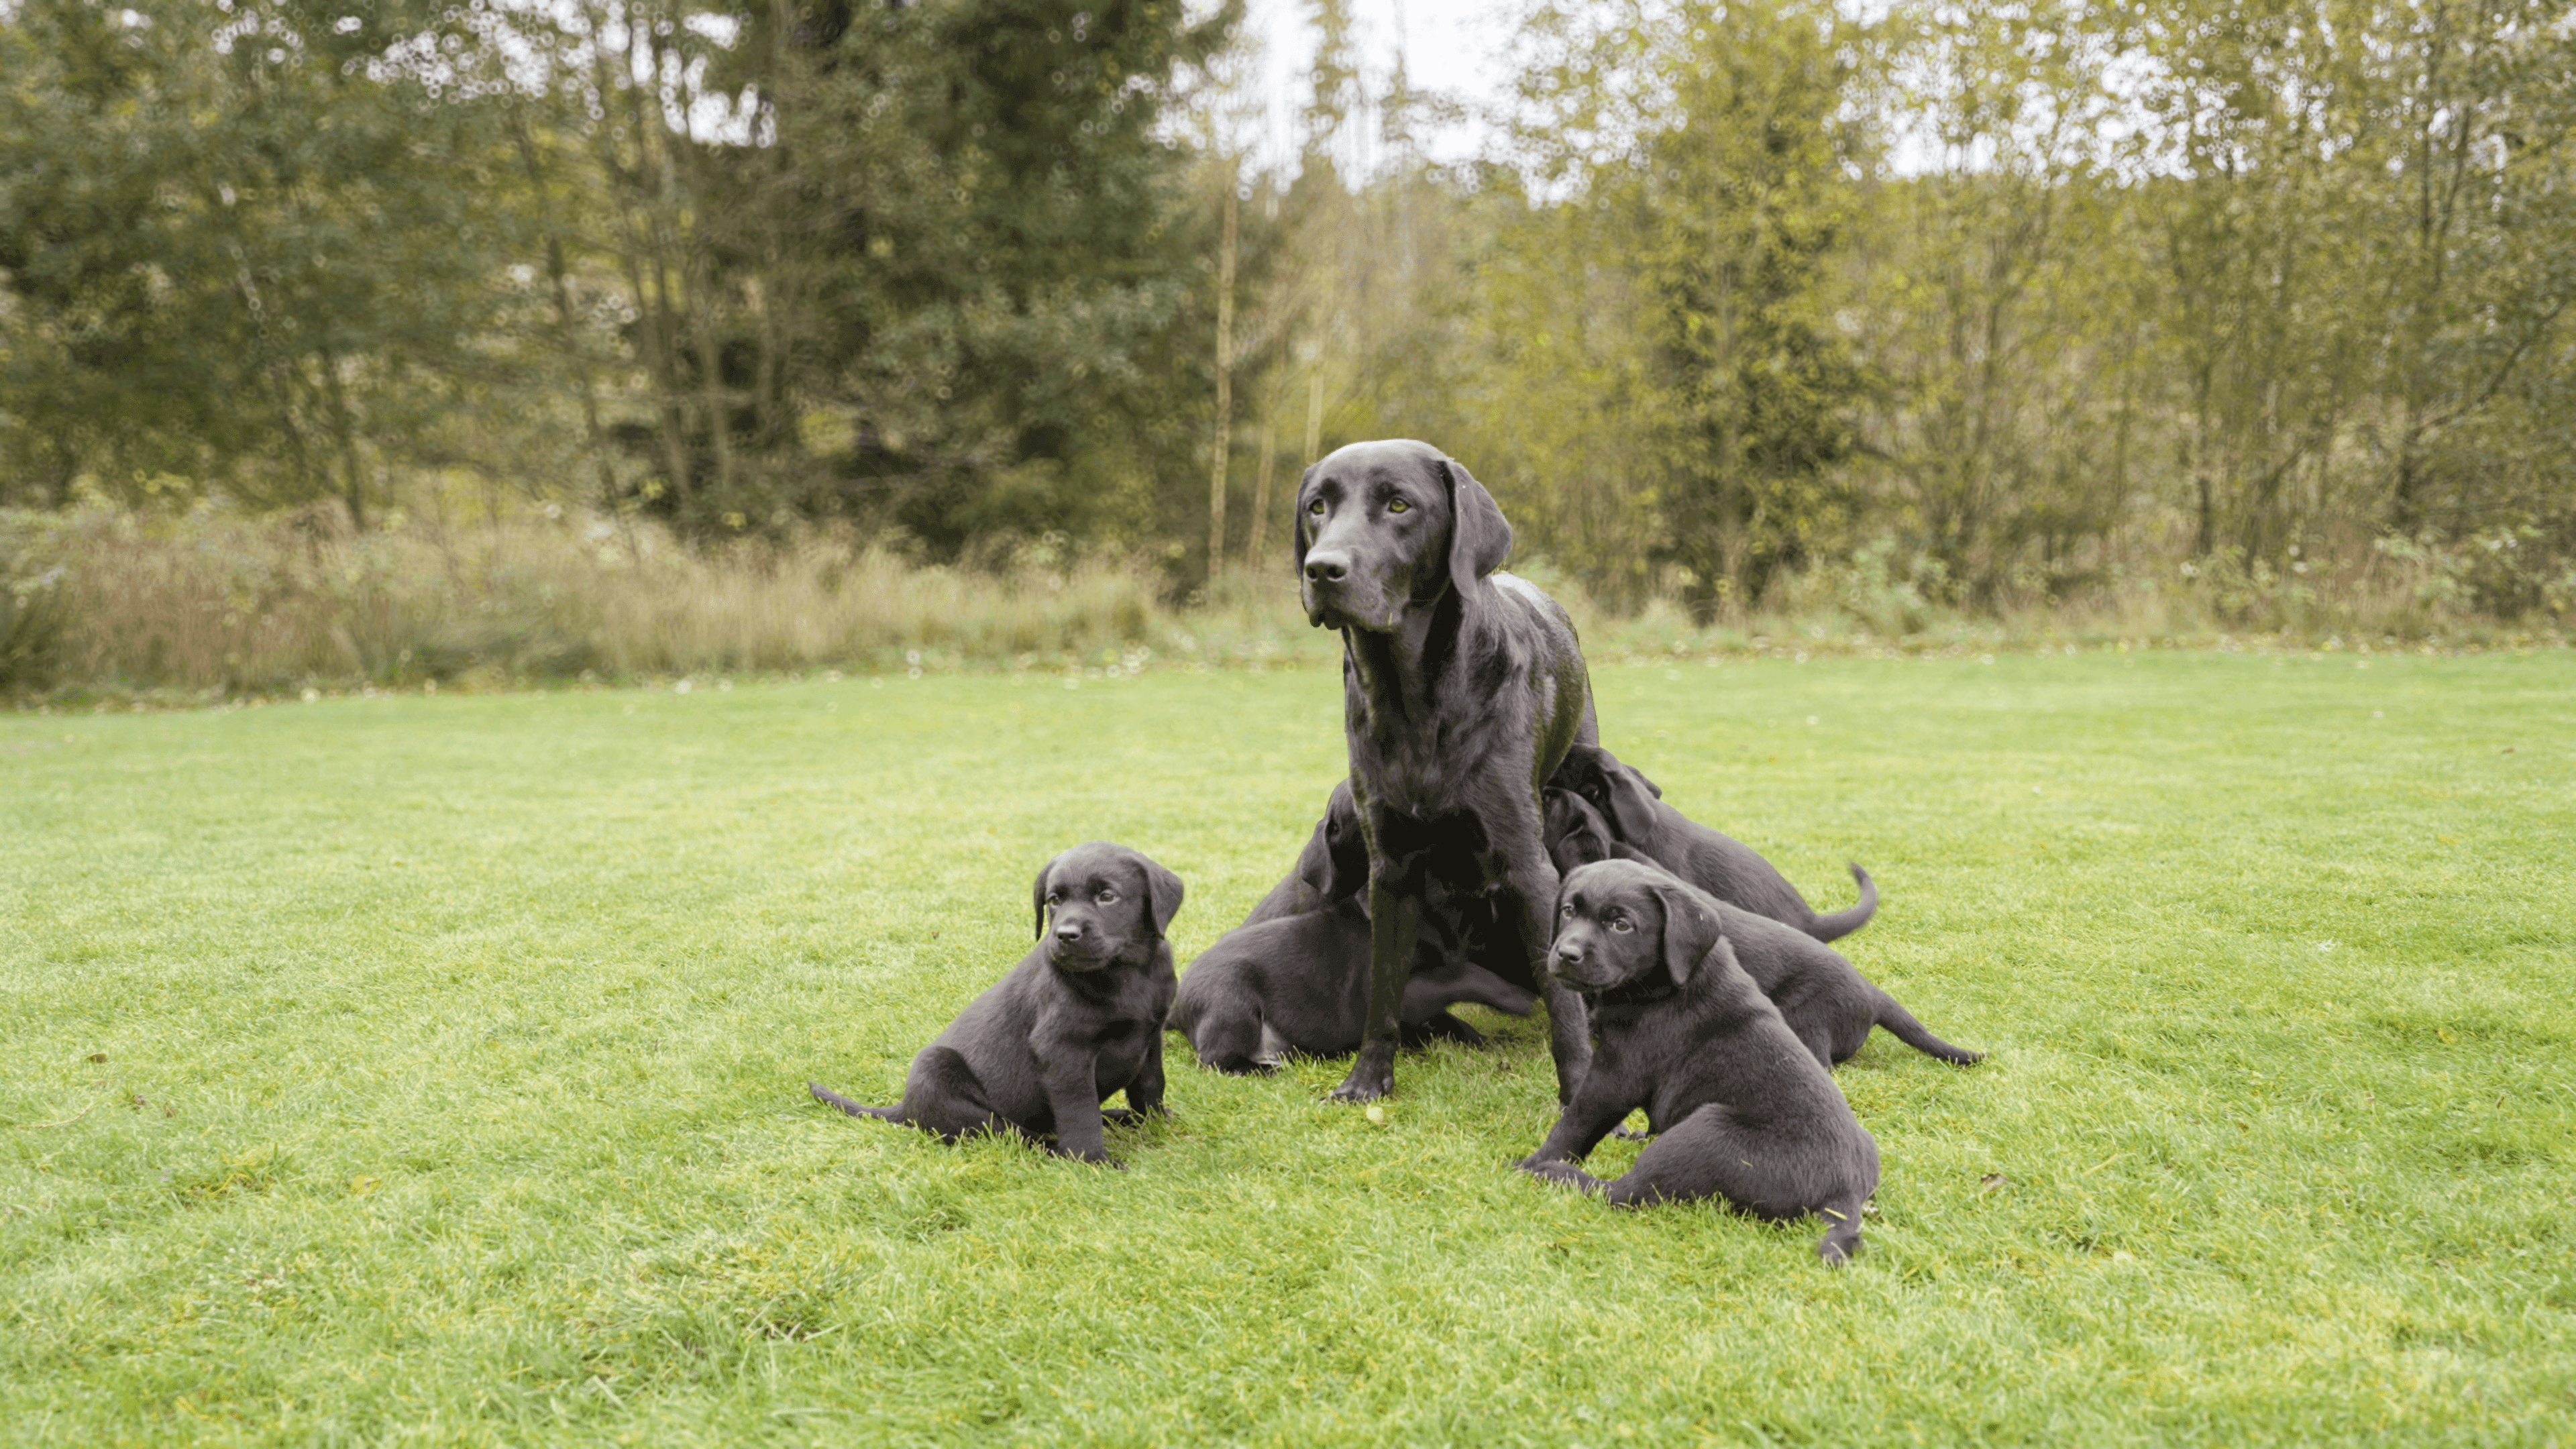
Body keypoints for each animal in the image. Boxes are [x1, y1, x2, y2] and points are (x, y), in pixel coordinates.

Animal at [804, 835, 1185, 1160]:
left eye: (1107, 896)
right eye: (1054, 900)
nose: (1065, 935)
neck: (1128, 972)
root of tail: (906, 1107)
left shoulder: (1149, 1038)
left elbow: (1150, 1086)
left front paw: (1154, 1125)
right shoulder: (1063, 1051)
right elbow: (1080, 1112)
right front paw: (1091, 1161)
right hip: (938, 1073)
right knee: (1011, 1133)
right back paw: (1057, 1147)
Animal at [1164, 892, 1525, 1072]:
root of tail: (1175, 1008)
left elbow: (1449, 1018)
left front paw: (1485, 1039)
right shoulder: (1403, 993)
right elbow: (1459, 974)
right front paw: (1514, 997)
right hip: (1231, 1003)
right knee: (1213, 1060)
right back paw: (1264, 1068)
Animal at [1504, 856, 1896, 1263]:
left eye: (1621, 925)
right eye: (1568, 910)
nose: (1566, 954)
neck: (1665, 986)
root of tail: (1847, 1192)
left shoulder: (1616, 1074)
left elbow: (1575, 1124)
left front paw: (1530, 1161)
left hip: (1707, 1130)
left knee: (1625, 1193)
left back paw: (1549, 1174)